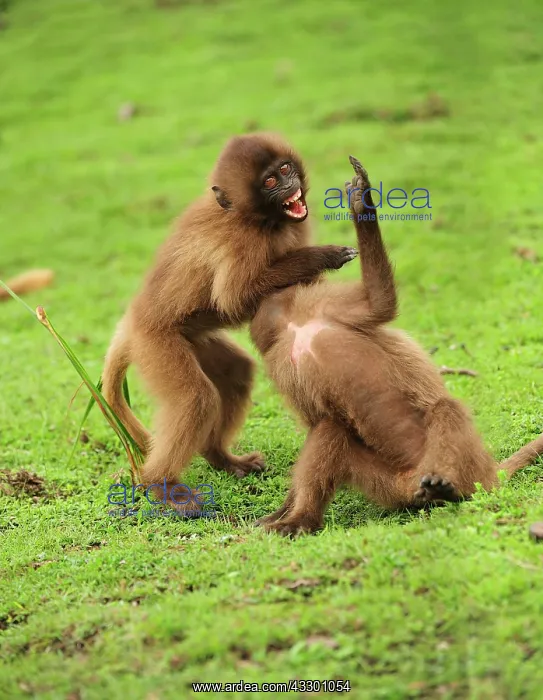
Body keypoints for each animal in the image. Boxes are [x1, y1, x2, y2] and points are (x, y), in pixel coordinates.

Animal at [101, 133, 358, 507]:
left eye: (285, 169)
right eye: (270, 182)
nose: (290, 185)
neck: (260, 221)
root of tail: (132, 321)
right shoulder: (242, 243)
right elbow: (234, 300)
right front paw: (322, 257)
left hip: (190, 337)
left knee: (236, 372)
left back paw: (219, 457)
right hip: (156, 343)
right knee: (195, 398)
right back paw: (161, 485)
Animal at [250, 155, 543, 536]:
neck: (296, 328)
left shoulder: (323, 308)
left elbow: (380, 303)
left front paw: (361, 203)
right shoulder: (280, 360)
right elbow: (317, 421)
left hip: (463, 470)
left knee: (444, 409)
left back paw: (447, 488)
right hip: (389, 484)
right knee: (332, 428)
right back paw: (303, 519)